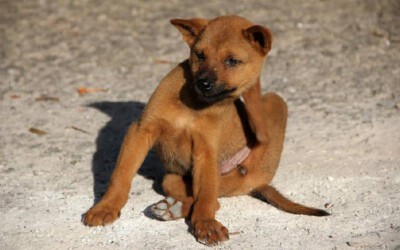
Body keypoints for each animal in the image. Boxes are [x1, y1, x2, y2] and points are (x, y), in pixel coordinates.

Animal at [82, 15, 328, 246]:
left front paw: (206, 224)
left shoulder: (205, 150)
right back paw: (171, 207)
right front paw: (106, 207)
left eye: (232, 61)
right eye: (200, 55)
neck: (194, 105)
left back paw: (173, 208)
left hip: (273, 105)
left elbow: (206, 195)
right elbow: (121, 175)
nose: (203, 83)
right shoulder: (141, 130)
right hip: (171, 179)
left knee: (214, 197)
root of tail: (259, 183)